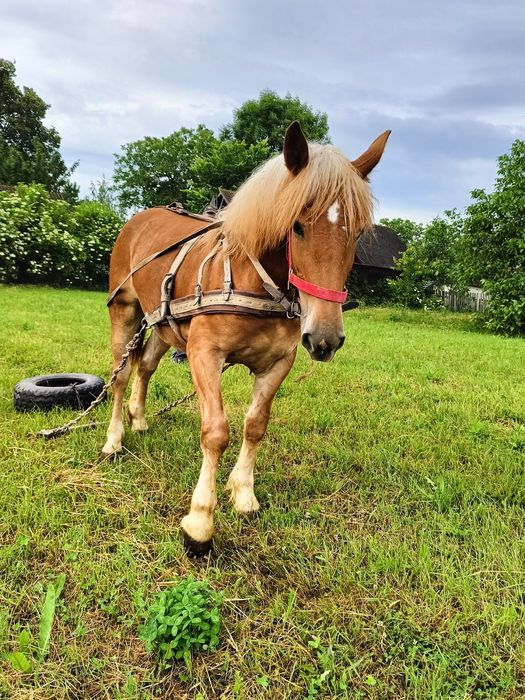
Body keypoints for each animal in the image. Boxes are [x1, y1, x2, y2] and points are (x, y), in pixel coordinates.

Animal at [102, 121, 388, 556]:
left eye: (355, 232)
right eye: (297, 225)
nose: (325, 338)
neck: (256, 281)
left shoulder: (278, 363)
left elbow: (255, 425)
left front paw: (243, 494)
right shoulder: (204, 354)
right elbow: (216, 431)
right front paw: (199, 523)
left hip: (163, 325)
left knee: (145, 365)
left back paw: (140, 418)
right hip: (124, 309)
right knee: (119, 374)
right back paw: (114, 440)